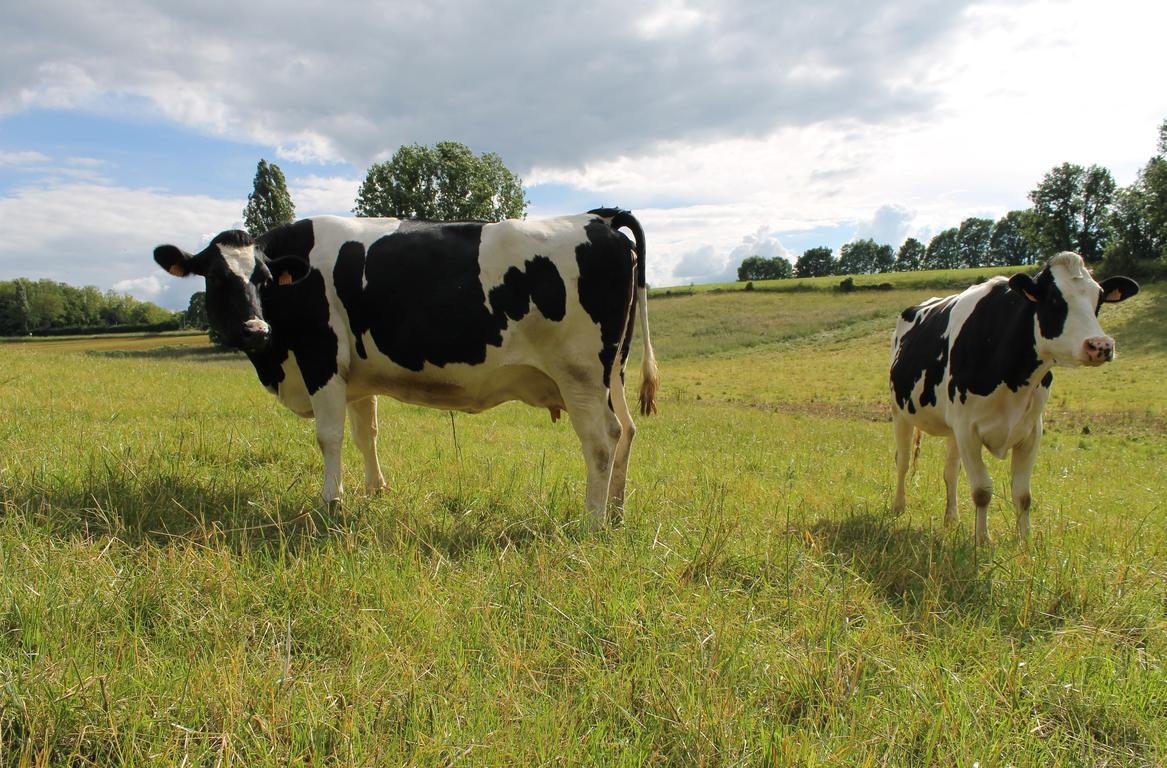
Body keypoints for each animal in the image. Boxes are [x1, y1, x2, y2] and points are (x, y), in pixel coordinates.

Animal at [154, 206, 658, 522]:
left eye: (262, 278)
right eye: (217, 277)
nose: (255, 330)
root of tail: (600, 218)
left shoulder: (321, 359)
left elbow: (329, 437)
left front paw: (330, 502)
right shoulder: (355, 377)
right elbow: (366, 434)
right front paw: (375, 491)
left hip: (580, 374)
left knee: (601, 439)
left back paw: (591, 520)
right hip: (612, 371)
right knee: (628, 431)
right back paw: (616, 511)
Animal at [886, 250, 1134, 539]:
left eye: (1099, 298)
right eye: (1053, 299)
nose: (1100, 345)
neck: (1013, 375)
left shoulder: (1030, 431)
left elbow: (1023, 494)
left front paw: (1024, 541)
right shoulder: (968, 429)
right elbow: (982, 490)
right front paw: (982, 539)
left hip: (952, 429)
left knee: (950, 471)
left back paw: (951, 519)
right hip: (901, 412)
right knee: (903, 461)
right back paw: (898, 508)